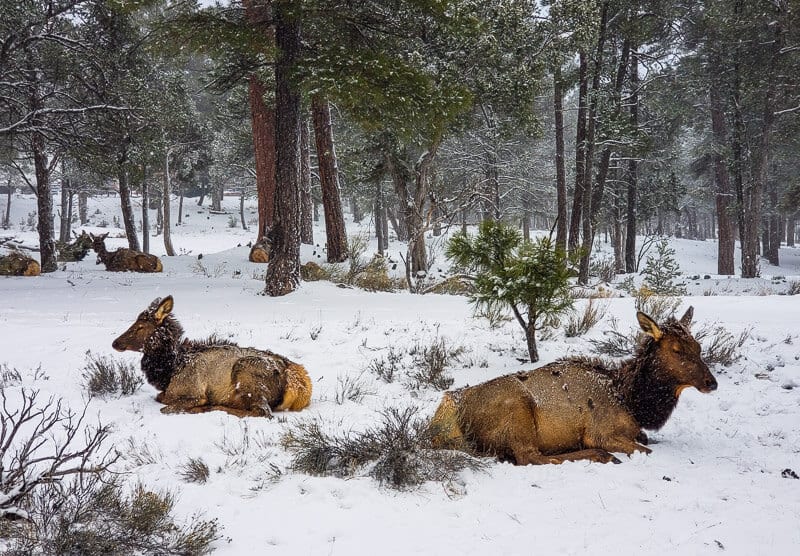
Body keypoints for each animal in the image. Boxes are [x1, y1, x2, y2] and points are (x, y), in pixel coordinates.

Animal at [112, 298, 312, 414]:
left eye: (140, 327)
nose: (115, 343)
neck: (170, 369)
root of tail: (302, 387)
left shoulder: (192, 391)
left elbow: (166, 405)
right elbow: (160, 396)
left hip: (245, 372)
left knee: (261, 411)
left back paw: (212, 407)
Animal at [432, 308, 720, 464]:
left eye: (698, 347)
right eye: (677, 350)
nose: (712, 382)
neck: (631, 401)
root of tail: (447, 409)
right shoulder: (601, 431)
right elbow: (645, 449)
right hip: (517, 409)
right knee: (530, 457)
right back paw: (599, 455)